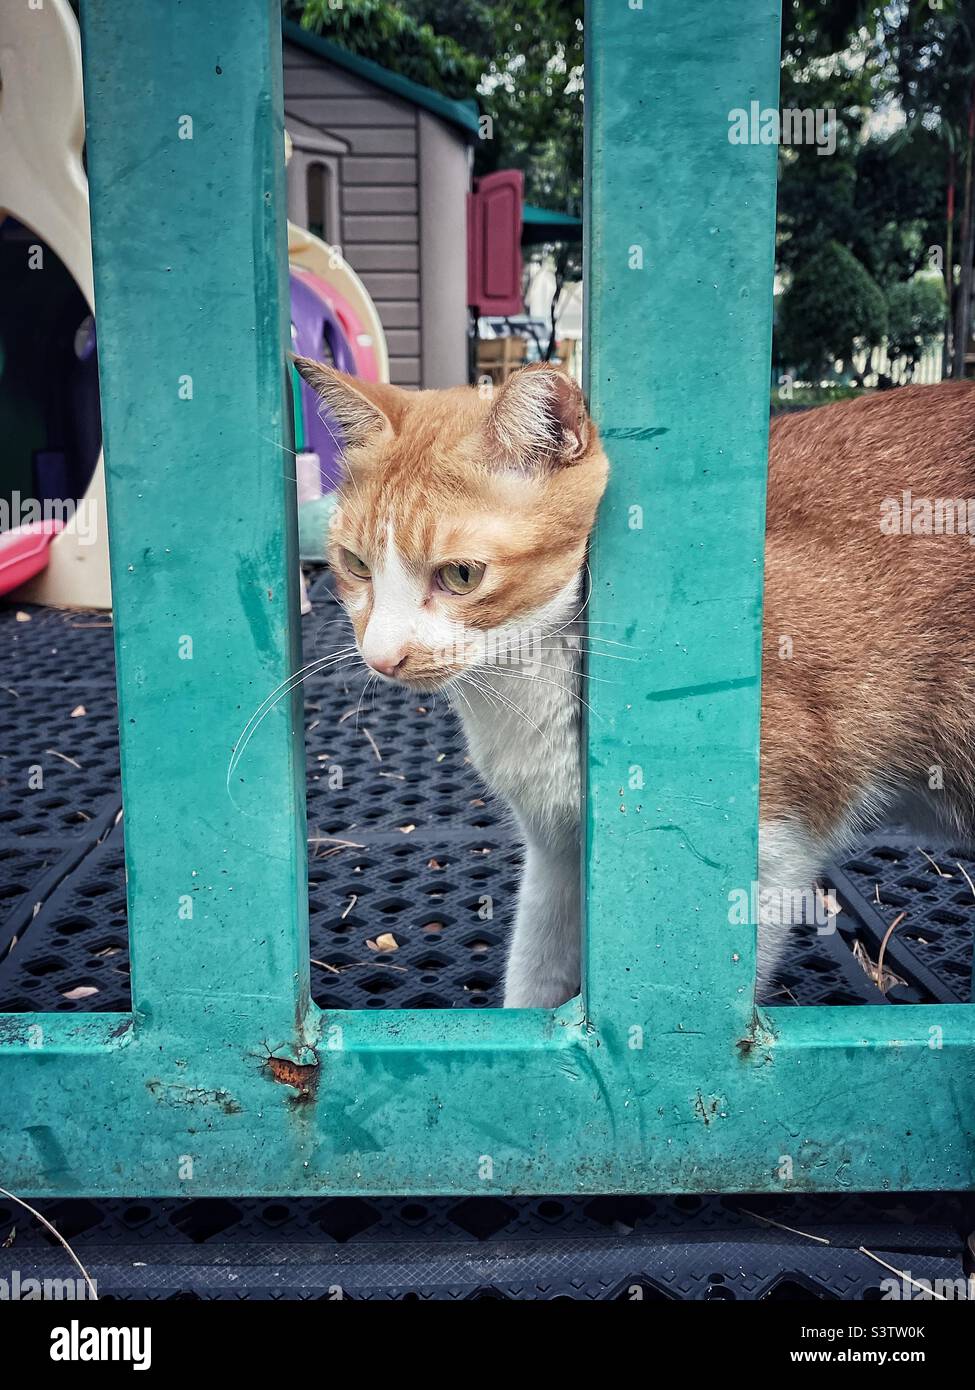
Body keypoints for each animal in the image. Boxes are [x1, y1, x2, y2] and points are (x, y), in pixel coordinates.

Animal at [294, 358, 973, 1006]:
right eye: (356, 565)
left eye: (460, 575)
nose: (381, 657)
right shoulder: (557, 852)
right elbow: (535, 971)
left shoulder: (772, 853)